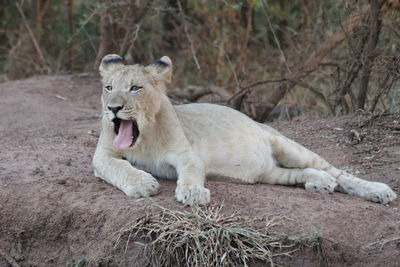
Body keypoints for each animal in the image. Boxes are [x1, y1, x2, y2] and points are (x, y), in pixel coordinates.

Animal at [94, 54, 396, 205]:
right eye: (108, 87)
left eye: (135, 88)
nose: (113, 108)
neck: (144, 137)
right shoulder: (102, 156)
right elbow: (118, 167)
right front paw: (141, 182)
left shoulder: (187, 154)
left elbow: (190, 172)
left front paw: (193, 193)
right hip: (270, 173)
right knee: (304, 173)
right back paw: (320, 182)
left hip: (289, 146)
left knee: (339, 173)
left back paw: (379, 191)